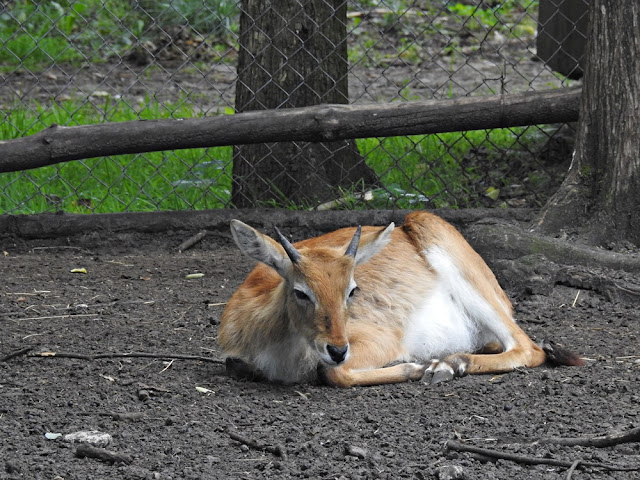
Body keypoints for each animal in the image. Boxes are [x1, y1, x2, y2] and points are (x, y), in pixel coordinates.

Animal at [218, 212, 584, 388]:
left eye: (352, 289)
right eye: (301, 291)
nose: (337, 349)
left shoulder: (381, 339)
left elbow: (331, 373)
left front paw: (416, 367)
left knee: (529, 347)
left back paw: (448, 364)